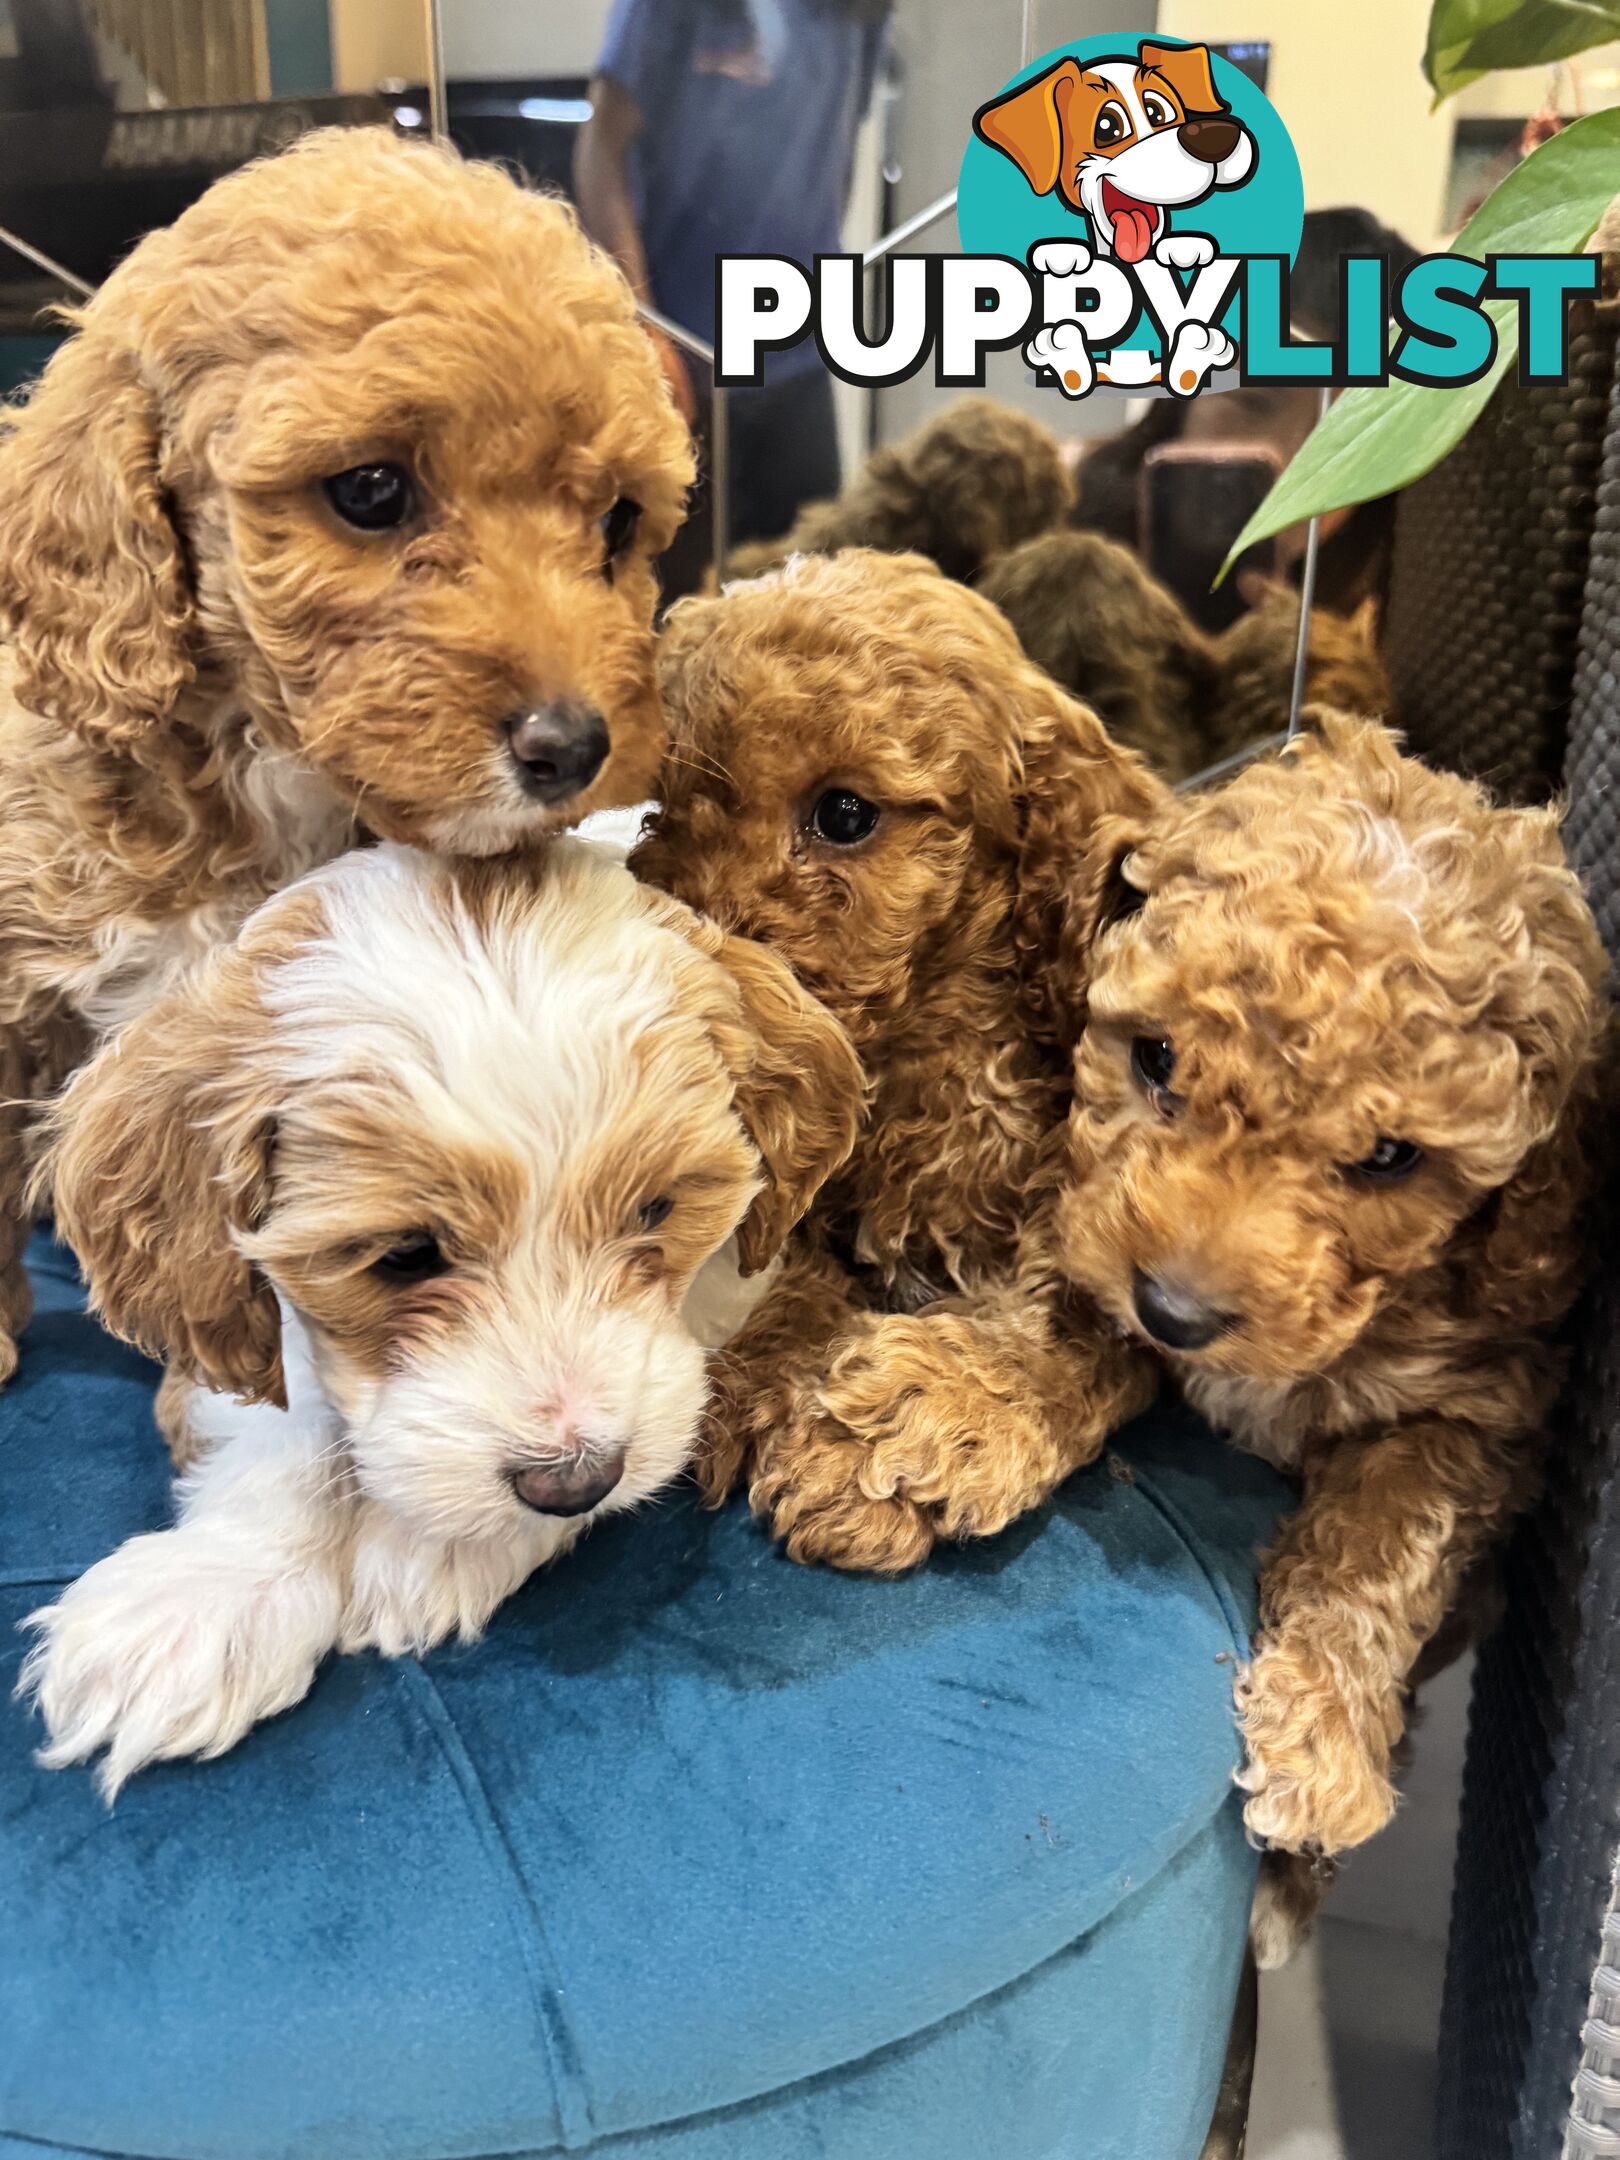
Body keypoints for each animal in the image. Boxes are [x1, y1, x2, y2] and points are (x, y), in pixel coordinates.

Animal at [630, 548, 1166, 1572]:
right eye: (659, 815)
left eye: (844, 814)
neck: (915, 1046)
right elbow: (791, 1264)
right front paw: (762, 1367)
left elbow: (1055, 1334)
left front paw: (894, 1438)